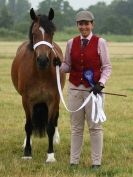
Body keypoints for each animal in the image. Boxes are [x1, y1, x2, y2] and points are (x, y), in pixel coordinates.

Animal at [10, 8, 65, 163]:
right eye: (34, 34)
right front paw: (27, 152)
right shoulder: (27, 100)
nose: (42, 60)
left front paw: (51, 155)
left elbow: (50, 126)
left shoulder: (53, 99)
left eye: (52, 33)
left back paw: (56, 139)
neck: (40, 73)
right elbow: (28, 126)